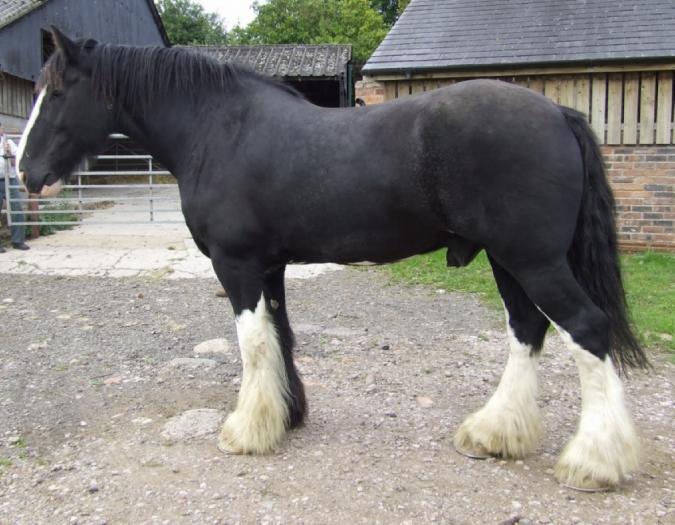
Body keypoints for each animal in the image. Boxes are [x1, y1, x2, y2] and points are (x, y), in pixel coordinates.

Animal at [17, 28, 648, 491]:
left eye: (56, 93)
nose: (26, 173)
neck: (219, 130)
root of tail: (559, 113)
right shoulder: (269, 267)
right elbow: (281, 337)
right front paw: (287, 416)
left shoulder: (236, 266)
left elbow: (253, 343)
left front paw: (247, 430)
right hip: (508, 260)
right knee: (527, 329)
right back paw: (494, 434)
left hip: (533, 260)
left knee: (585, 329)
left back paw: (593, 463)